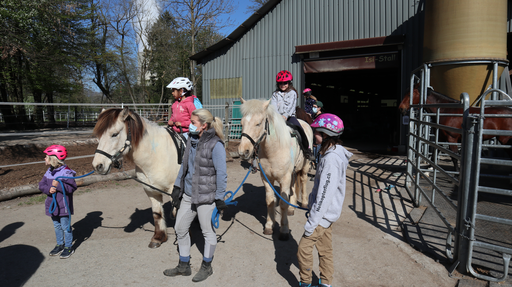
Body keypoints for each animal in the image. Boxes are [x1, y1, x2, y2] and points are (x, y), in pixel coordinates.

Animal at [92, 109, 180, 249]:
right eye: (99, 136)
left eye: (114, 134)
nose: (97, 165)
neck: (156, 155)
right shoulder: (151, 190)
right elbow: (157, 213)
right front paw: (158, 238)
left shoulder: (176, 192)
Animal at [238, 99, 314, 241]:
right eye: (242, 123)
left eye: (258, 123)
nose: (243, 151)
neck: (273, 150)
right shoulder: (267, 178)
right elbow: (270, 201)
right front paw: (269, 226)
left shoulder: (284, 179)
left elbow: (283, 203)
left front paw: (284, 230)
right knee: (294, 185)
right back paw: (291, 208)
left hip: (304, 167)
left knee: (303, 181)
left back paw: (304, 203)